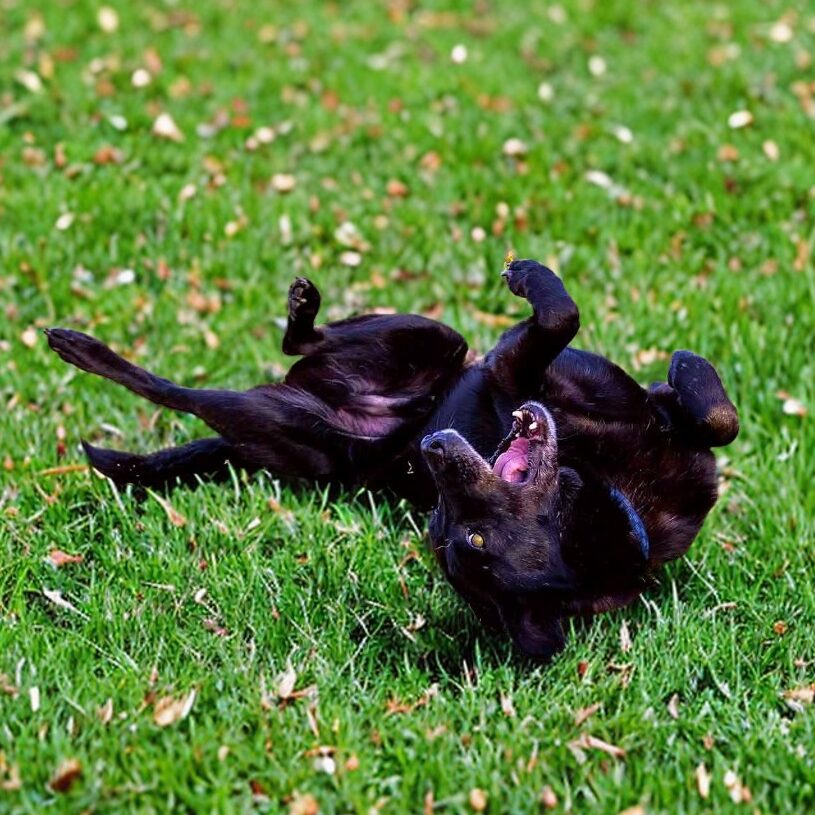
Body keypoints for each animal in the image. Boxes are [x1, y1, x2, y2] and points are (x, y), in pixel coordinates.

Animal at [45, 259, 738, 659]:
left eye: (467, 537)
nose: (433, 453)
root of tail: (369, 440)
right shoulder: (518, 368)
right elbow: (711, 413)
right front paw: (687, 366)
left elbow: (570, 324)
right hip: (427, 336)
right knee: (302, 343)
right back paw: (300, 305)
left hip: (280, 420)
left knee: (182, 393)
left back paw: (80, 348)